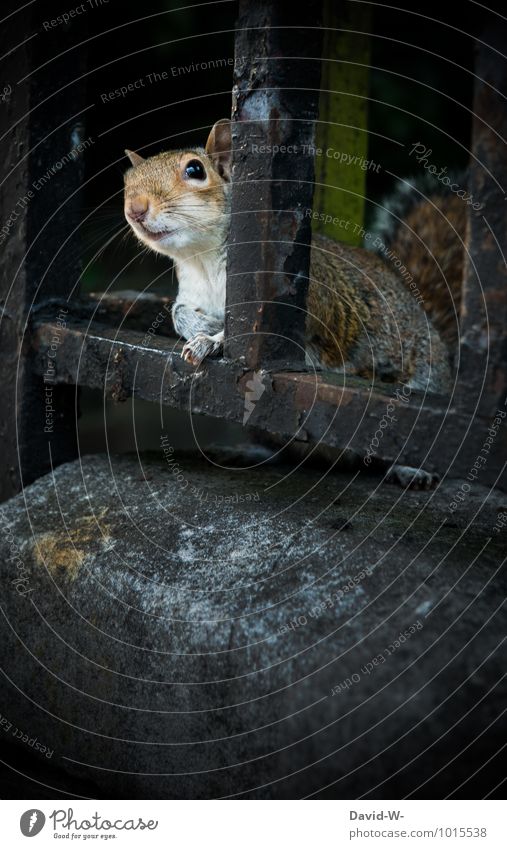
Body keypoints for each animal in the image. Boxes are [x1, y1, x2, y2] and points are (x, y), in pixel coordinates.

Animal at [124, 117, 464, 400]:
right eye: (127, 180)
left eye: (195, 170)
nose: (135, 209)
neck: (201, 259)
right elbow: (178, 311)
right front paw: (200, 324)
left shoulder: (307, 294)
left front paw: (212, 340)